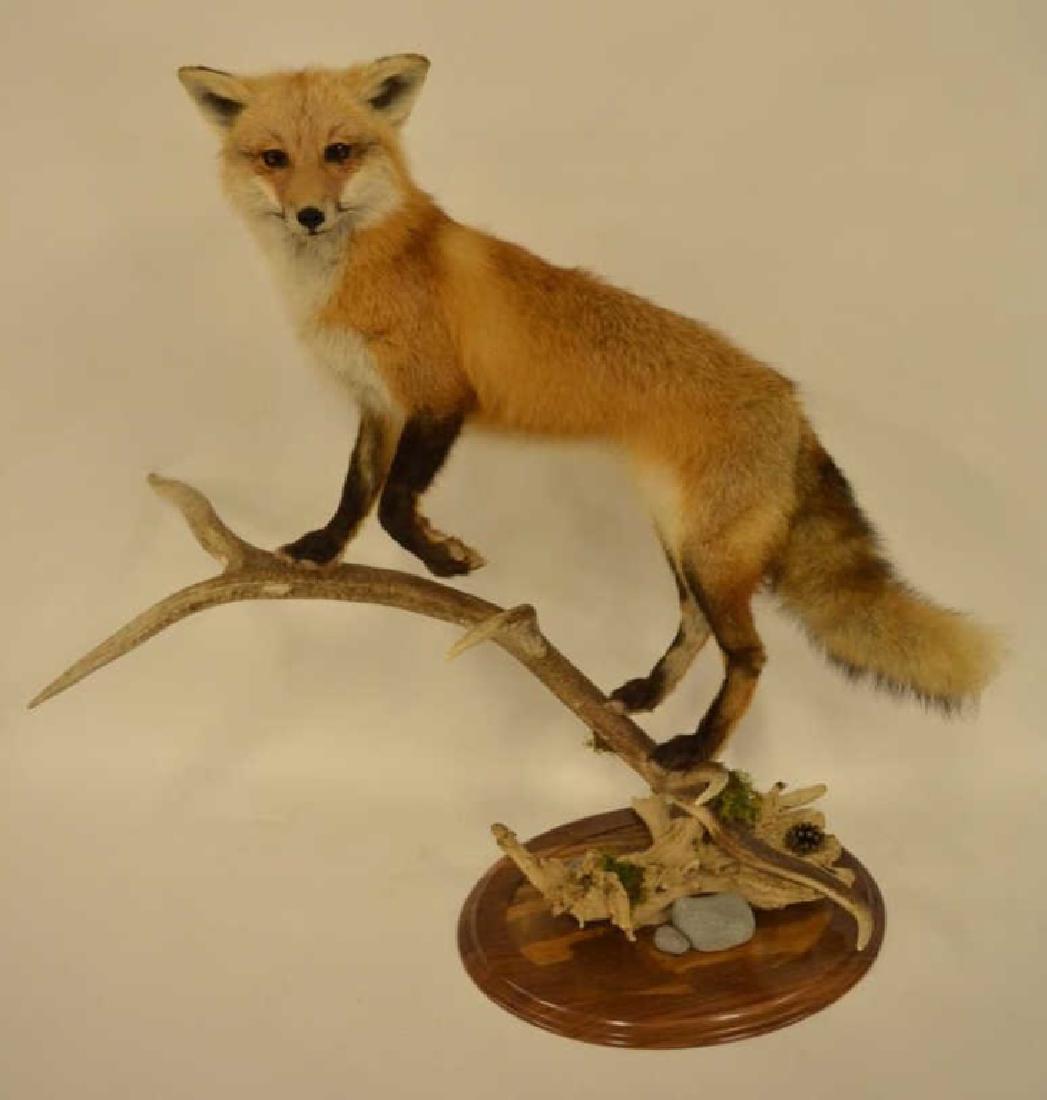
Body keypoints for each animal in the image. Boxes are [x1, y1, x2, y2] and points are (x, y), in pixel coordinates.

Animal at [177, 54, 1000, 771]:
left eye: (339, 151)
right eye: (274, 158)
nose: (310, 214)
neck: (352, 274)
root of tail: (791, 401)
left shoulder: (440, 400)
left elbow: (396, 507)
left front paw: (446, 559)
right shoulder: (378, 406)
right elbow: (355, 495)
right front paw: (320, 551)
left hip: (708, 551)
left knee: (751, 656)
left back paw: (694, 750)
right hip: (682, 539)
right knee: (697, 627)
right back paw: (646, 697)